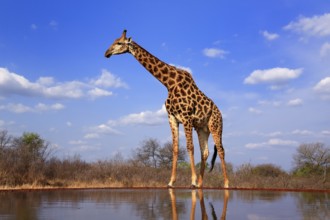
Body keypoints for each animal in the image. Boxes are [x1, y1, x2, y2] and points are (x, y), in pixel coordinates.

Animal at [104, 29, 228, 187]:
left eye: (119, 43)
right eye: (114, 41)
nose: (106, 53)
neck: (169, 83)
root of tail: (220, 114)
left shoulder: (186, 117)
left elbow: (189, 147)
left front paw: (192, 181)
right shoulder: (172, 117)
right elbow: (175, 148)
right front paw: (171, 181)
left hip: (215, 126)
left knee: (221, 150)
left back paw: (225, 183)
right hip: (202, 128)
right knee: (205, 152)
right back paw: (201, 184)